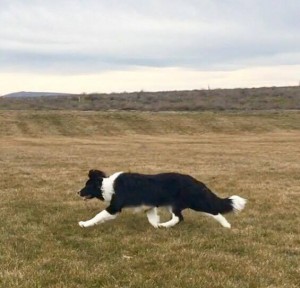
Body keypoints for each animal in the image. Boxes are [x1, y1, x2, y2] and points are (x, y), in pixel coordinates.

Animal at [77, 170, 246, 228]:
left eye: (87, 185)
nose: (78, 192)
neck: (106, 185)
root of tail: (197, 182)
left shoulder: (114, 207)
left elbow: (98, 215)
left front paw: (84, 223)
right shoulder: (149, 206)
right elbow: (152, 219)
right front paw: (156, 226)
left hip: (196, 202)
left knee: (212, 211)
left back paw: (227, 225)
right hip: (178, 205)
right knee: (180, 218)